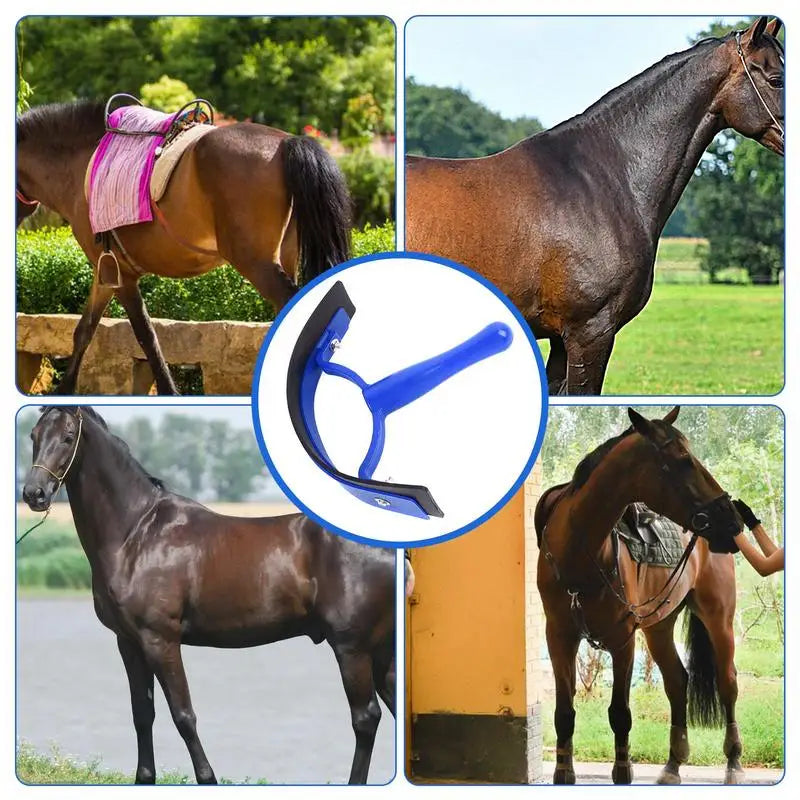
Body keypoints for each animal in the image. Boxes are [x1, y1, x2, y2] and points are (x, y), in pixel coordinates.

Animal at [16, 102, 352, 395]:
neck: (80, 164)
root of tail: (285, 144)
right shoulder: (106, 273)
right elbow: (85, 329)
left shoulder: (120, 274)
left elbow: (146, 336)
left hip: (256, 262)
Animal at [21, 406, 394, 785]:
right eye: (33, 435)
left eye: (68, 437)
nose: (34, 493)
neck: (137, 534)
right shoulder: (128, 642)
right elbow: (142, 714)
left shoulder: (160, 640)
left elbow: (183, 715)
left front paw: (207, 778)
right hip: (380, 652)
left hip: (352, 649)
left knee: (366, 718)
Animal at [534, 407, 746, 785]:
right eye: (683, 459)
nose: (732, 519)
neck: (579, 553)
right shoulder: (558, 636)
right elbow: (564, 711)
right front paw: (563, 771)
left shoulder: (622, 639)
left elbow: (620, 713)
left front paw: (623, 770)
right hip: (658, 626)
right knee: (677, 681)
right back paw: (673, 766)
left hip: (718, 617)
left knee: (728, 683)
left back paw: (733, 763)